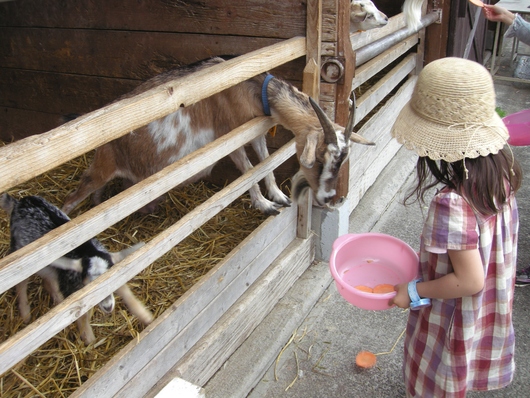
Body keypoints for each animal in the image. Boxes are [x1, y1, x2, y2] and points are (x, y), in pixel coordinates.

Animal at [62, 56, 374, 215]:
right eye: (319, 159)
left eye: (342, 160)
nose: (329, 197)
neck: (250, 87)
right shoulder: (229, 138)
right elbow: (248, 170)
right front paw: (265, 205)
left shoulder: (255, 132)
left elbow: (265, 164)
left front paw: (279, 197)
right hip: (102, 166)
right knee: (71, 200)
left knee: (97, 200)